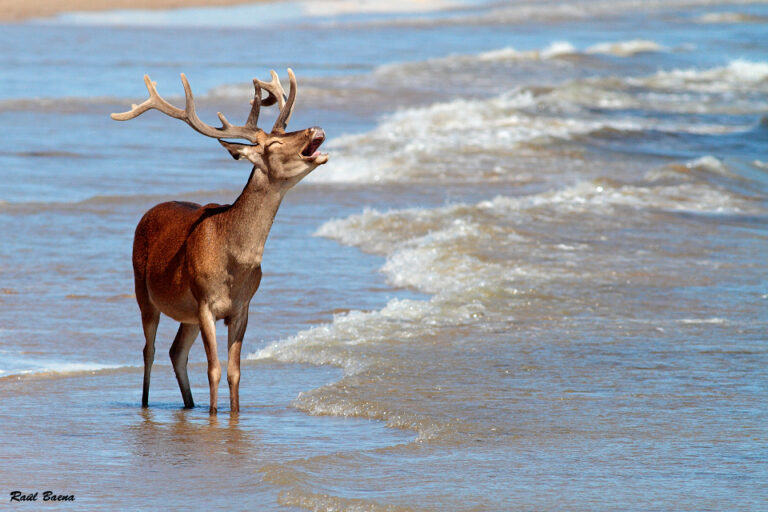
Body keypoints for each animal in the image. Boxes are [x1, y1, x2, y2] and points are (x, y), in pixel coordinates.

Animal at [112, 69, 328, 412]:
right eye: (275, 142)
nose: (315, 128)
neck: (234, 263)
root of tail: (149, 210)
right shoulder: (205, 303)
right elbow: (213, 369)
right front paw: (215, 414)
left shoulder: (242, 307)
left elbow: (234, 372)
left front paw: (234, 413)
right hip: (142, 291)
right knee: (150, 350)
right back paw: (146, 404)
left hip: (185, 313)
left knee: (176, 351)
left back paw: (189, 405)